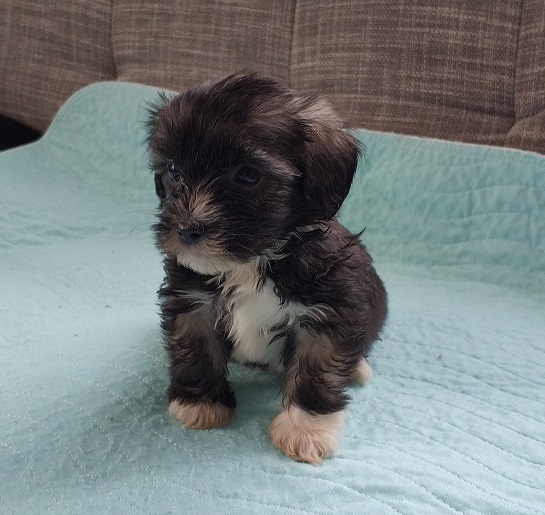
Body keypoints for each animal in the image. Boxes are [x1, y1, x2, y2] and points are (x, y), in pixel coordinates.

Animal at [147, 73, 387, 463]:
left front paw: (306, 429)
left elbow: (316, 368)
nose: (186, 229)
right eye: (173, 171)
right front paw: (200, 402)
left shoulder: (329, 311)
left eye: (247, 175)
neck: (252, 262)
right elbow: (196, 347)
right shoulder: (192, 298)